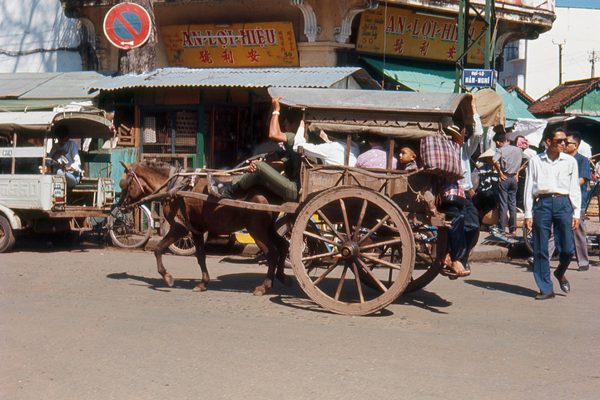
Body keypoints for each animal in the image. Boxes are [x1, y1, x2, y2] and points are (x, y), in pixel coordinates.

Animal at [118, 161, 290, 296]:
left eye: (124, 184)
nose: (120, 206)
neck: (174, 186)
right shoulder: (196, 229)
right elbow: (200, 256)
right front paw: (203, 283)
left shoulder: (180, 227)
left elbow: (158, 249)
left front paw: (167, 277)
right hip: (267, 228)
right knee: (283, 245)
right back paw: (282, 276)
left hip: (257, 229)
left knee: (272, 253)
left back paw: (264, 286)